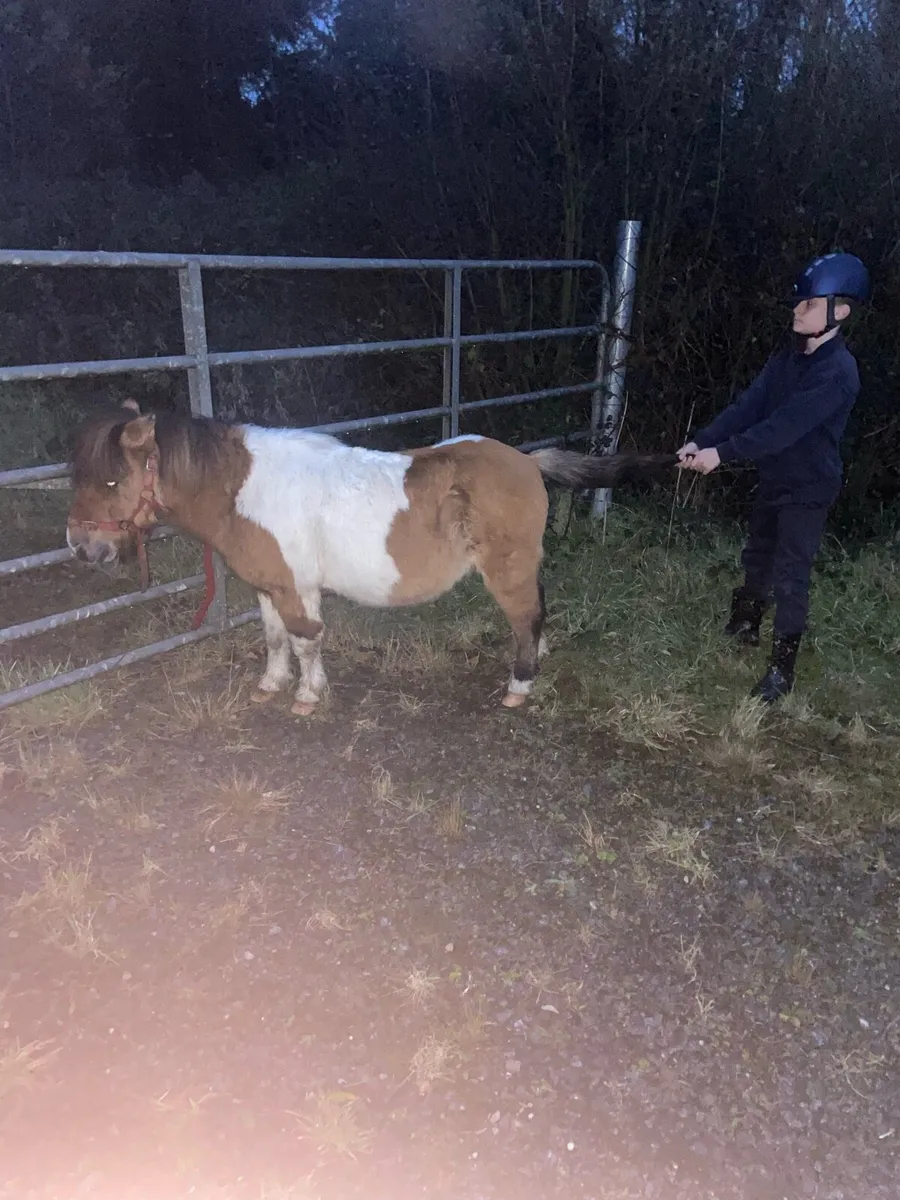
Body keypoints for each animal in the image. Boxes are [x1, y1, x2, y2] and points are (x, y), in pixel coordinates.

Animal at [66, 400, 677, 714]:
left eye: (113, 479)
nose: (82, 547)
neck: (245, 489)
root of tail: (529, 462)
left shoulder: (293, 589)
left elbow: (306, 640)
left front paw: (308, 696)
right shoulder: (272, 585)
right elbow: (276, 639)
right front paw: (273, 684)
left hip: (507, 571)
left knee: (527, 618)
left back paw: (519, 686)